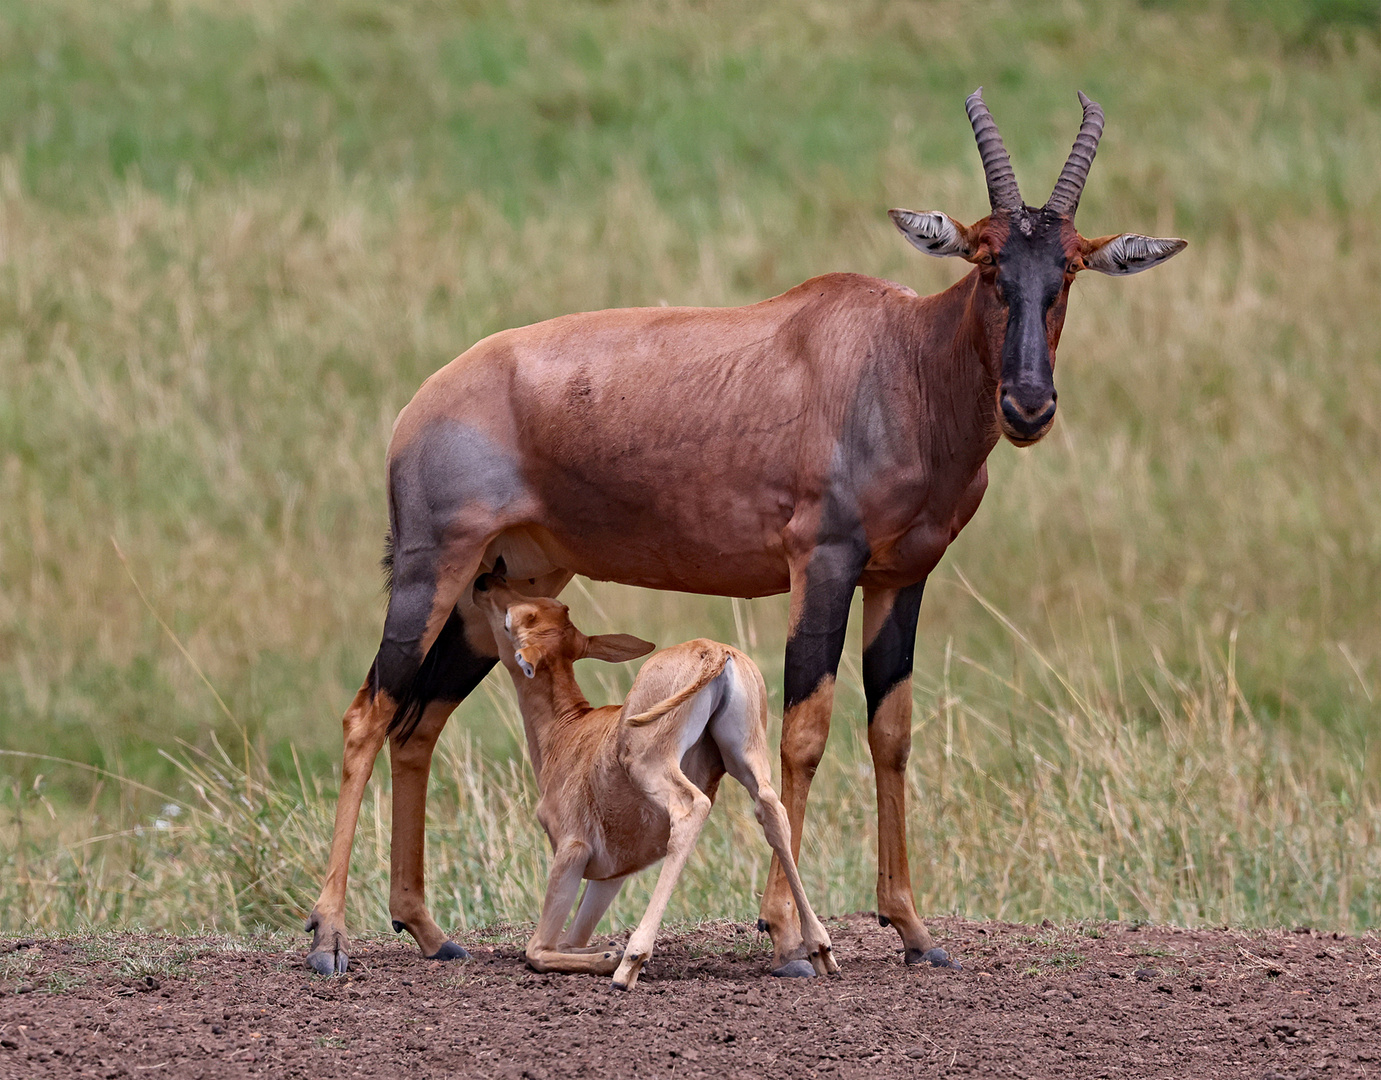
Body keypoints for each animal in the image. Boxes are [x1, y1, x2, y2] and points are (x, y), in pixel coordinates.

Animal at [302, 89, 1187, 977]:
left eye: (1066, 267)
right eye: (986, 262)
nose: (1028, 406)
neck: (897, 358)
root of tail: (422, 403)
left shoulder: (901, 577)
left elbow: (891, 732)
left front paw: (913, 931)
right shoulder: (821, 563)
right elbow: (802, 735)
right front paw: (788, 935)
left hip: (503, 589)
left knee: (419, 723)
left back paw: (427, 928)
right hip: (432, 570)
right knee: (368, 715)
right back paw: (329, 937)